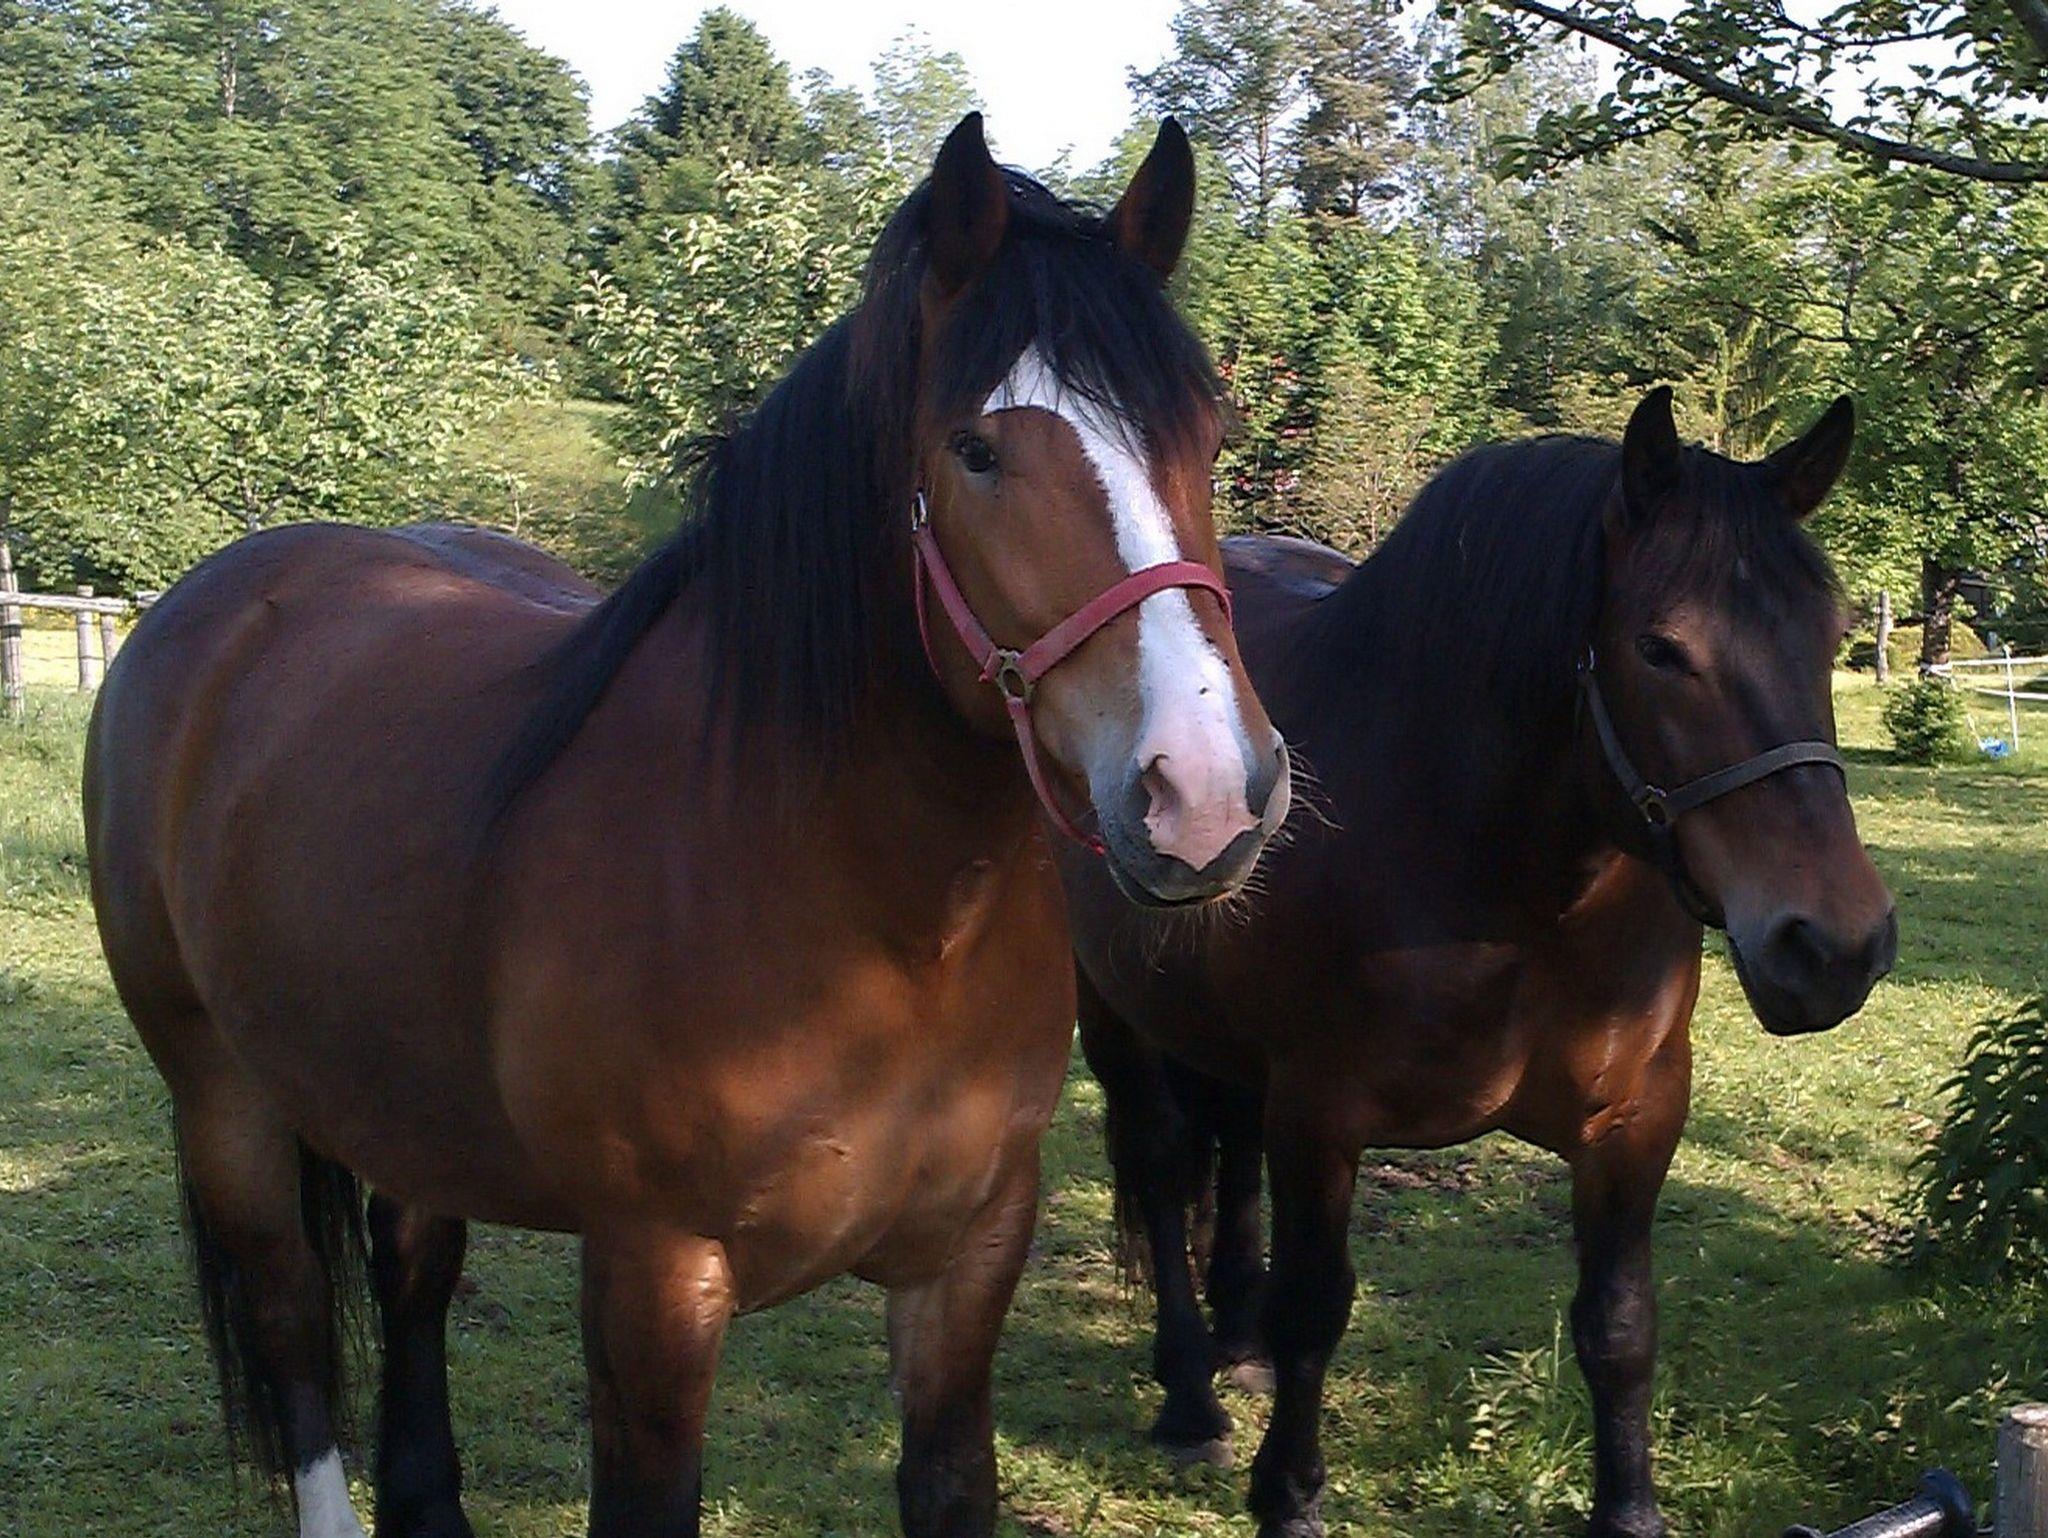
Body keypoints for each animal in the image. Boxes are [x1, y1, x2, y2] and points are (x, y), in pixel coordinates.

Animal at [84, 114, 1292, 1538]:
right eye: (976, 450)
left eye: (1204, 433)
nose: (1203, 792)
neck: (874, 921)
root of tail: (207, 602)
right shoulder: (653, 1284)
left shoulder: (965, 1263)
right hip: (220, 1093)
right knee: (291, 1329)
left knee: (410, 1271)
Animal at [1056, 388, 1897, 1538]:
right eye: (1659, 647)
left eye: (1832, 635)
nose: (1834, 944)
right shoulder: (1321, 1115)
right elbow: (1317, 1307)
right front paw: (1287, 1494)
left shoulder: (1636, 1118)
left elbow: (1619, 1324)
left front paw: (1628, 1510)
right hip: (1115, 1011)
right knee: (1157, 1157)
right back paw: (1190, 1391)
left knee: (1225, 1150)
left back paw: (1236, 1341)